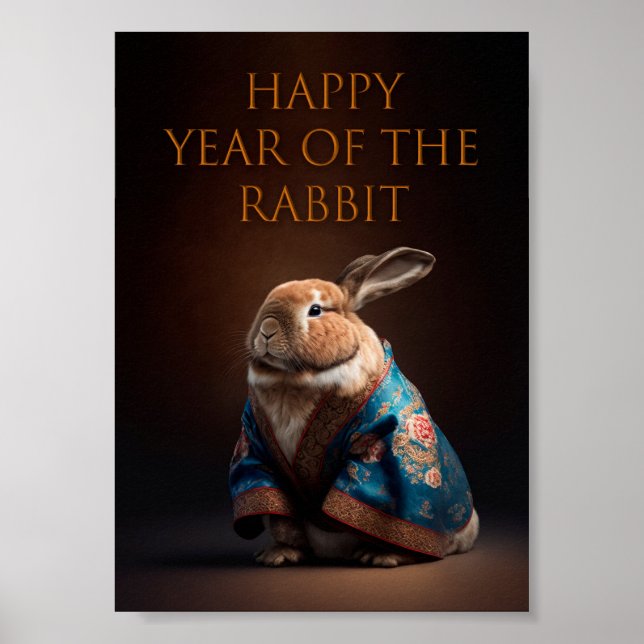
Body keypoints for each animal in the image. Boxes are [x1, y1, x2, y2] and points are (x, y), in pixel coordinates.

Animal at [229, 247, 479, 567]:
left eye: (315, 310)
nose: (266, 329)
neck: (296, 378)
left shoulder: (382, 447)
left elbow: (377, 502)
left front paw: (382, 555)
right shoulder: (256, 450)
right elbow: (278, 514)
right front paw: (278, 555)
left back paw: (380, 555)